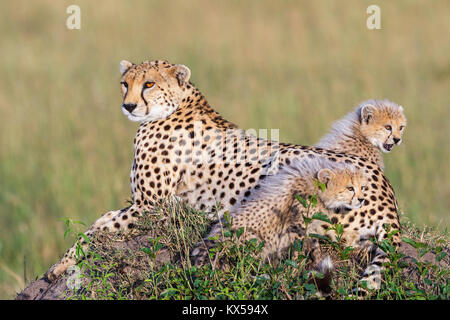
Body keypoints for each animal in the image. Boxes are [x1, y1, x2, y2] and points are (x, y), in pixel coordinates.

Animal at [47, 60, 406, 288]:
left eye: (148, 84)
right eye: (125, 84)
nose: (129, 106)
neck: (177, 106)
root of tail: (387, 194)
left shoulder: (152, 206)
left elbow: (96, 228)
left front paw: (63, 265)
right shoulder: (146, 205)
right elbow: (99, 223)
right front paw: (62, 265)